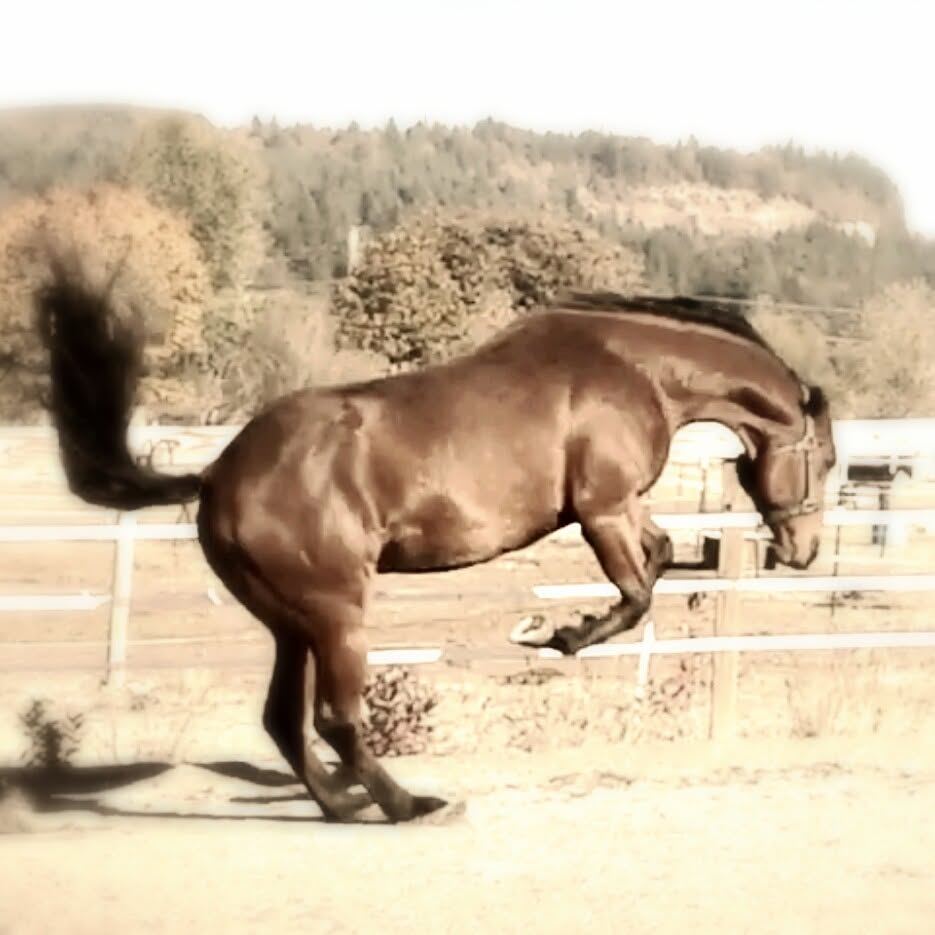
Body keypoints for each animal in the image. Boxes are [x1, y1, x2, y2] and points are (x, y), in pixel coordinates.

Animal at [35, 265, 836, 823]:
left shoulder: (621, 508)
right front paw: (553, 635)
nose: (800, 551)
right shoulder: (601, 509)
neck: (628, 368)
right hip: (337, 616)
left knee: (286, 721)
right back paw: (406, 805)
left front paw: (557, 627)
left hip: (292, 624)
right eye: (827, 459)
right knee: (335, 718)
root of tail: (216, 476)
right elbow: (636, 594)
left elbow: (661, 557)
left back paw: (343, 804)